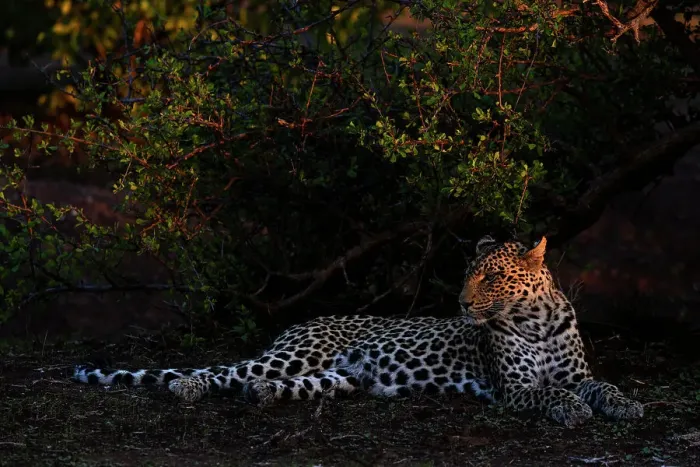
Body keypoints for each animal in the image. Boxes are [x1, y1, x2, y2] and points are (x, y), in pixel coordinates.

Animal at [72, 235, 644, 427]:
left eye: (493, 276)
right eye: (469, 275)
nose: (460, 302)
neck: (537, 321)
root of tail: (305, 321)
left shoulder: (576, 372)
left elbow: (601, 385)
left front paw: (627, 406)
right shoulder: (516, 388)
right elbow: (550, 394)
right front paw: (572, 411)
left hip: (339, 377)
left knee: (261, 382)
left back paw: (264, 396)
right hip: (295, 355)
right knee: (221, 371)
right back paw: (187, 387)